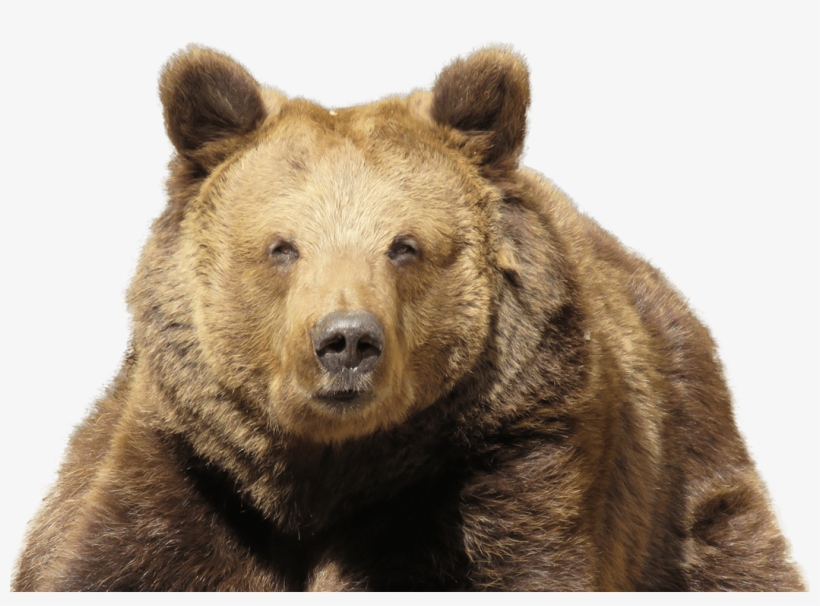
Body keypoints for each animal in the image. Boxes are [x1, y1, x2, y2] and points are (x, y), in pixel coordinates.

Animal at [12, 45, 804, 591]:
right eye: (281, 246)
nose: (346, 341)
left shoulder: (505, 464)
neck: (324, 474)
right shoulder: (191, 474)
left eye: (405, 246)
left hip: (688, 479)